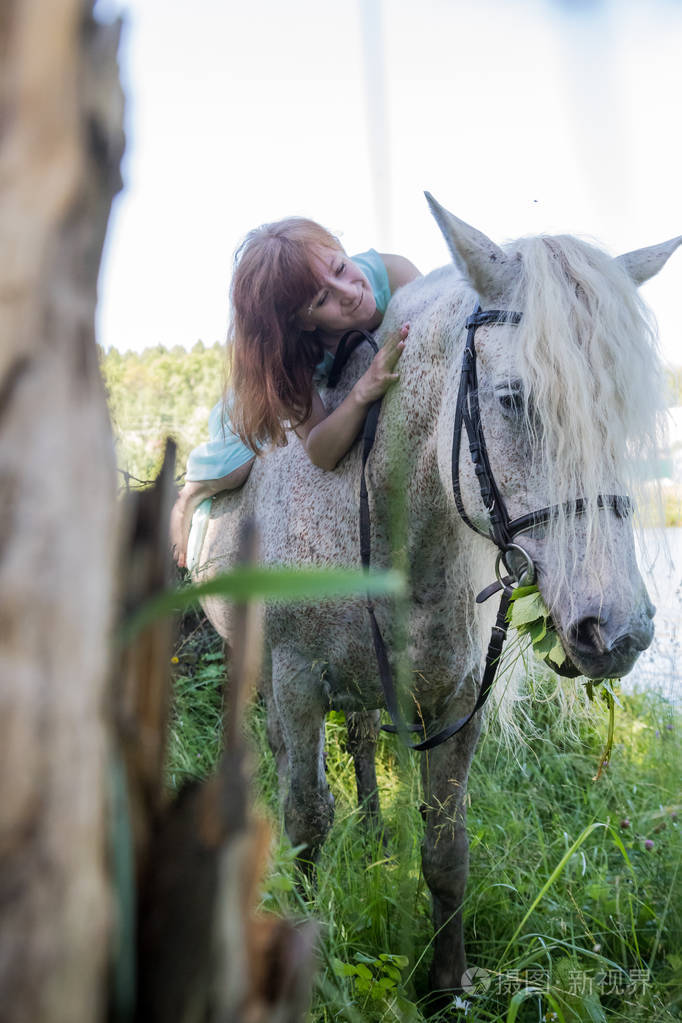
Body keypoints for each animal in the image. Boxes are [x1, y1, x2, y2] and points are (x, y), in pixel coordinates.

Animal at [193, 194, 680, 997]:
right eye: (514, 399)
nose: (619, 630)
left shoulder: (453, 706)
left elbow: (446, 852)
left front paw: (446, 988)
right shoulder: (297, 684)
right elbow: (305, 821)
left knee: (361, 741)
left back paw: (372, 828)